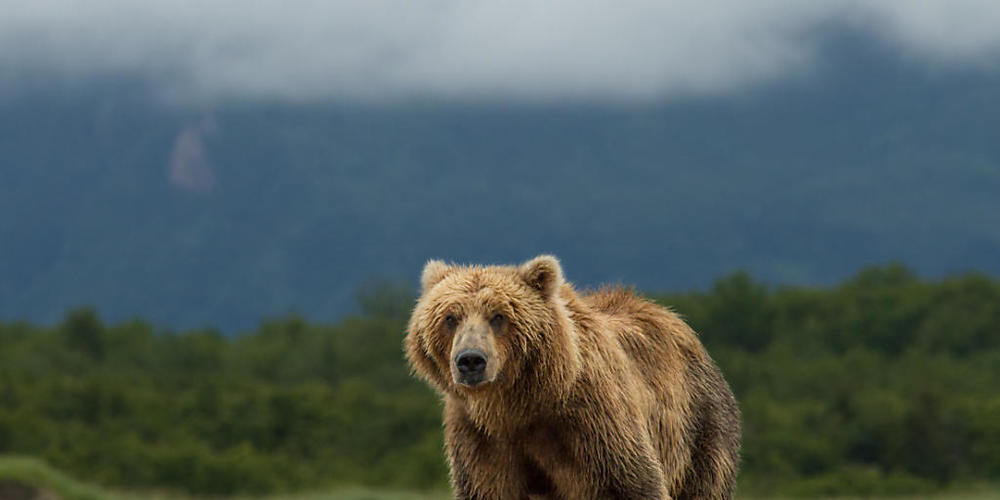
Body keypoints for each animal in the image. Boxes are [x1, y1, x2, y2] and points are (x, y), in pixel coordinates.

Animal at [405, 255, 740, 499]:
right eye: (450, 318)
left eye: (499, 316)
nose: (471, 360)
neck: (519, 404)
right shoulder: (480, 437)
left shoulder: (594, 422)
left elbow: (630, 483)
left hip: (698, 428)